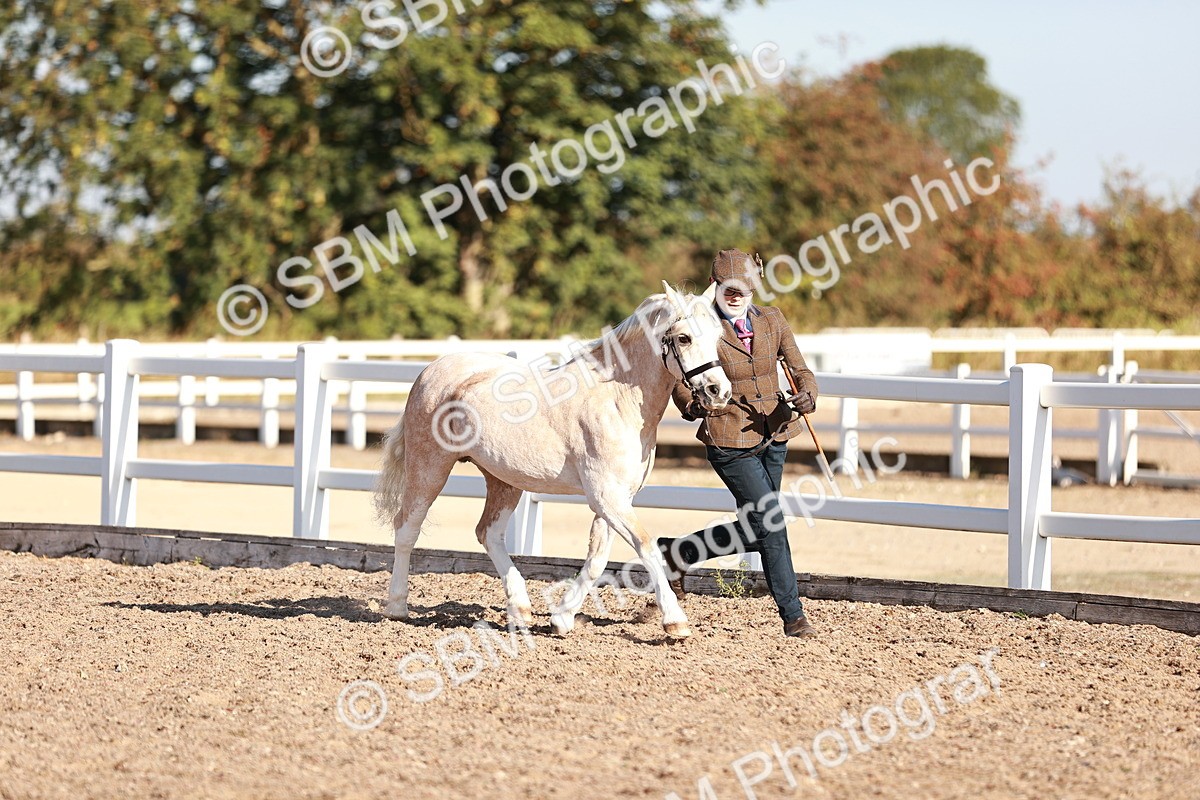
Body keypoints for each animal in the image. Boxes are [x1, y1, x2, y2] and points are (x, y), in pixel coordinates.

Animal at [373, 282, 732, 639]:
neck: (616, 400)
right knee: (407, 528)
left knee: (489, 533)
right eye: (683, 338)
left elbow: (597, 560)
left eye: (717, 334)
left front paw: (562, 618)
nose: (719, 392)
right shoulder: (607, 497)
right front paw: (675, 620)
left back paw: (520, 610)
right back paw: (397, 606)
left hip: (503, 480)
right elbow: (645, 548)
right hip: (429, 468)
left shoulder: (615, 499)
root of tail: (431, 371)